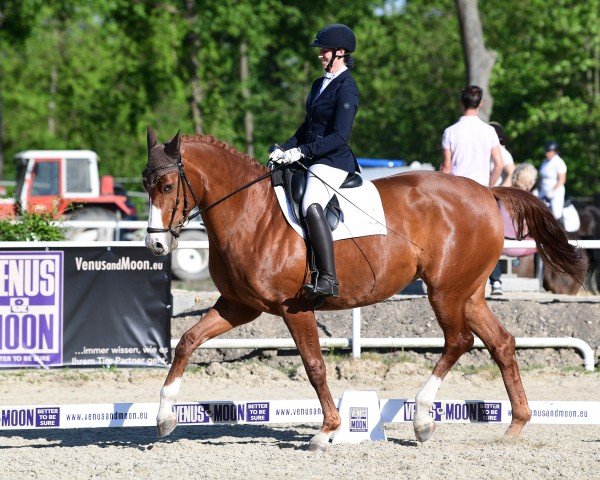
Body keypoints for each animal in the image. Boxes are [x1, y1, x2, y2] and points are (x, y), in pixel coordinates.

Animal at [142, 127, 584, 450]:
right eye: (146, 185)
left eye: (166, 186)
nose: (155, 245)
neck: (250, 212)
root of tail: (487, 192)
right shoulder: (239, 305)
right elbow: (187, 341)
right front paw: (164, 418)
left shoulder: (293, 308)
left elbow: (315, 366)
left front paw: (327, 431)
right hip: (468, 293)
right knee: (501, 343)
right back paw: (515, 426)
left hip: (445, 292)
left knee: (459, 341)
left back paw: (422, 419)